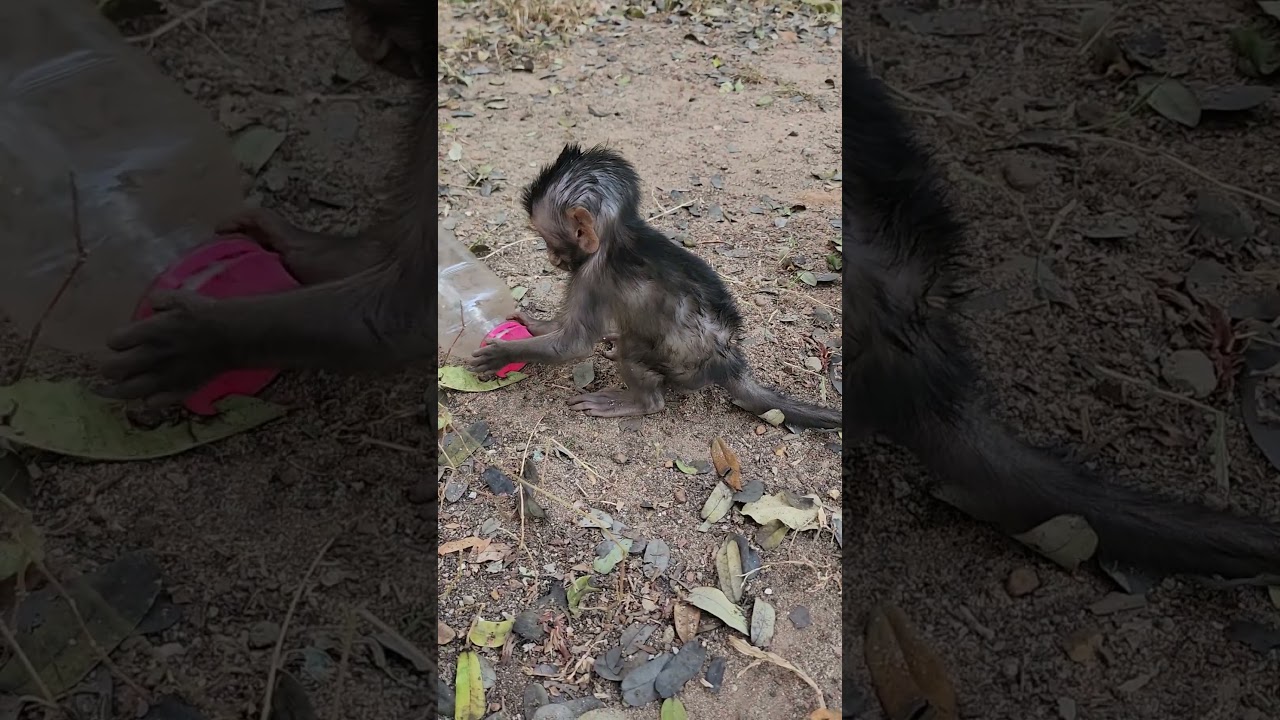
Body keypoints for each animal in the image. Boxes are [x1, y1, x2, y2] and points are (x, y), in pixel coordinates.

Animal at [467, 144, 843, 430]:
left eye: (549, 240)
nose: (550, 257)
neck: (616, 236)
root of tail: (729, 359)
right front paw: (531, 324)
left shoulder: (591, 275)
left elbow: (573, 344)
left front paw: (505, 353)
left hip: (683, 364)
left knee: (637, 354)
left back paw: (640, 400)